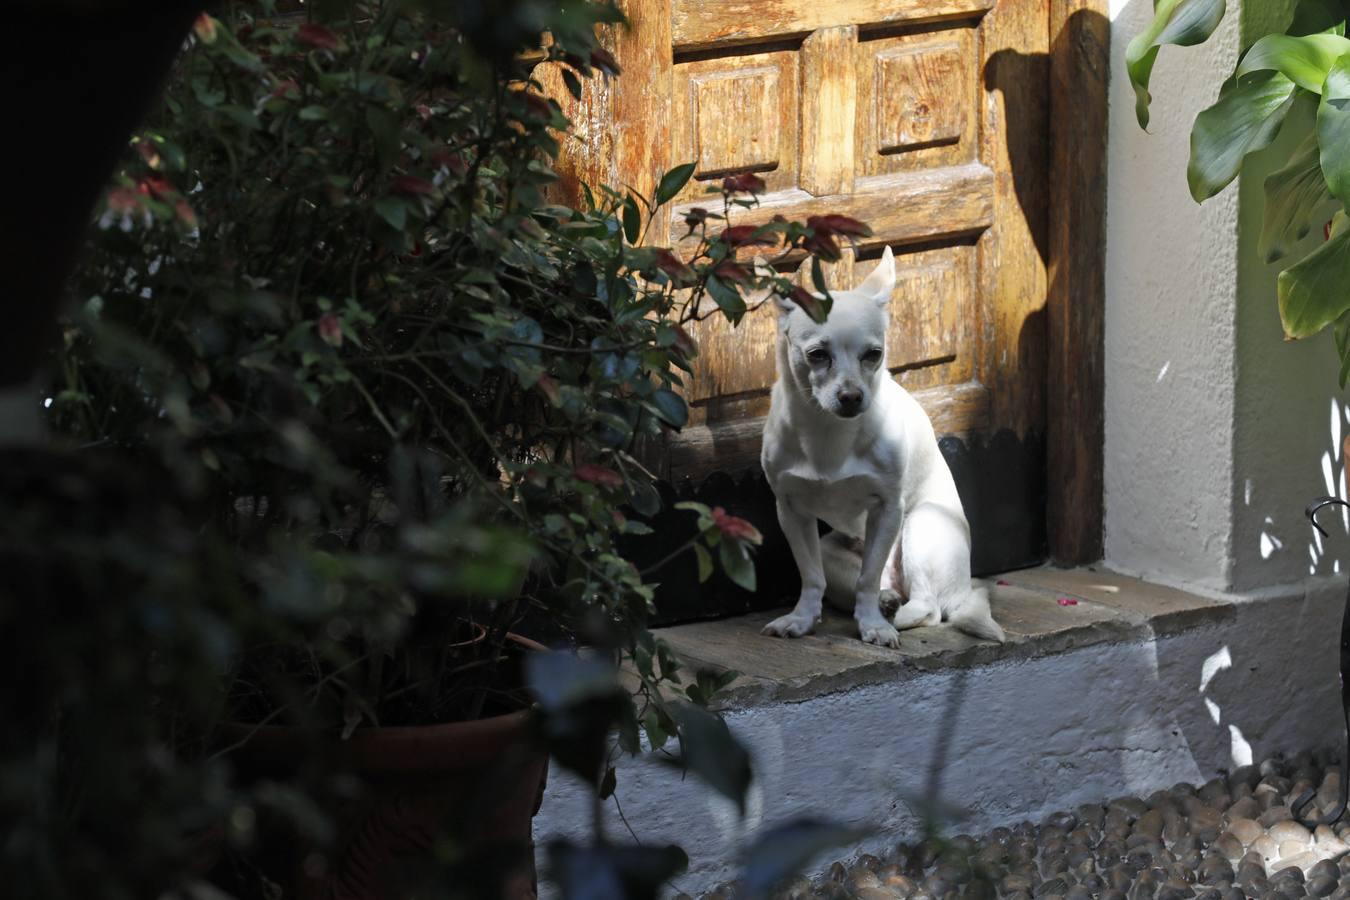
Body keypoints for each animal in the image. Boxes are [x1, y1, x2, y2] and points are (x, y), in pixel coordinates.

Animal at [761, 246, 1004, 647]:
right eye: (817, 354)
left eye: (873, 354)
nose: (851, 396)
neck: (830, 431)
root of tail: (964, 590)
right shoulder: (790, 510)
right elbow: (811, 577)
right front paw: (802, 619)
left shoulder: (887, 508)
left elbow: (868, 578)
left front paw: (873, 626)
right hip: (832, 548)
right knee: (857, 583)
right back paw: (887, 600)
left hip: (922, 526)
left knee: (927, 606)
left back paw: (895, 614)